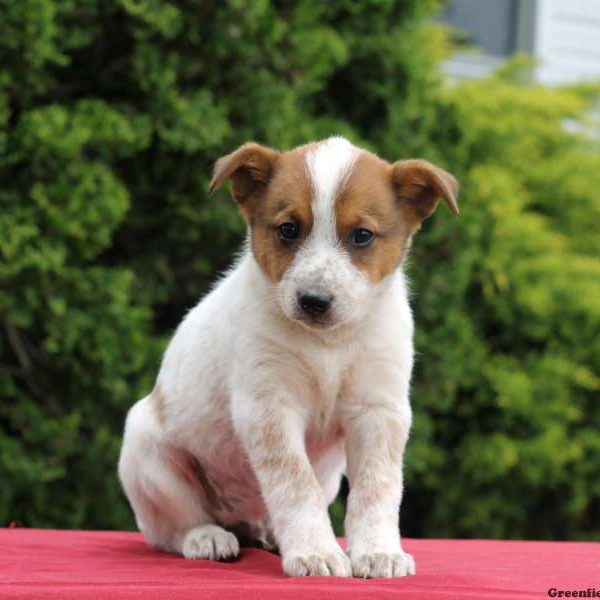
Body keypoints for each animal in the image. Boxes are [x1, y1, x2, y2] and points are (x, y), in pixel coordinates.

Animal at [117, 136, 458, 576]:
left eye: (362, 235)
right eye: (288, 229)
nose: (314, 301)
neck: (328, 345)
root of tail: (241, 521)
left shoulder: (379, 410)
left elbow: (377, 488)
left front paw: (378, 551)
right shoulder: (269, 407)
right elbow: (296, 484)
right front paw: (315, 553)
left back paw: (273, 537)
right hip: (149, 456)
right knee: (174, 526)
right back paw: (208, 538)